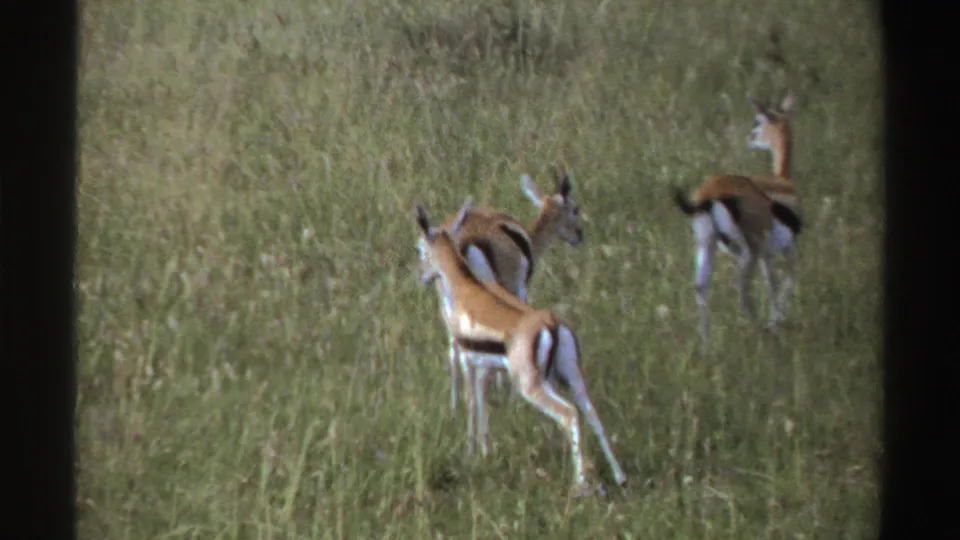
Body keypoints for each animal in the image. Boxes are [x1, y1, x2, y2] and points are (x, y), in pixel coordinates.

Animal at [414, 198, 626, 497]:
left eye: (419, 248)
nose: (420, 277)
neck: (467, 287)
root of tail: (551, 324)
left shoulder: (468, 359)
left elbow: (471, 403)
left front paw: (470, 453)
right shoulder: (486, 366)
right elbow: (482, 401)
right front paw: (485, 452)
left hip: (534, 387)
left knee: (569, 414)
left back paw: (580, 485)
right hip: (573, 379)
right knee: (592, 415)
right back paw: (620, 477)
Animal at [435, 169, 584, 410]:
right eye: (575, 208)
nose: (579, 235)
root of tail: (464, 239)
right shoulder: (517, 288)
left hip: (449, 302)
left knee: (454, 346)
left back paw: (455, 406)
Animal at [671, 91, 803, 345]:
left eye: (757, 121)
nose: (748, 139)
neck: (782, 181)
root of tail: (709, 194)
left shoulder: (766, 254)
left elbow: (773, 284)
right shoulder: (784, 248)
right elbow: (785, 281)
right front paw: (774, 324)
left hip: (708, 243)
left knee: (700, 287)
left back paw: (707, 345)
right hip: (748, 251)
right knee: (739, 287)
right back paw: (757, 329)